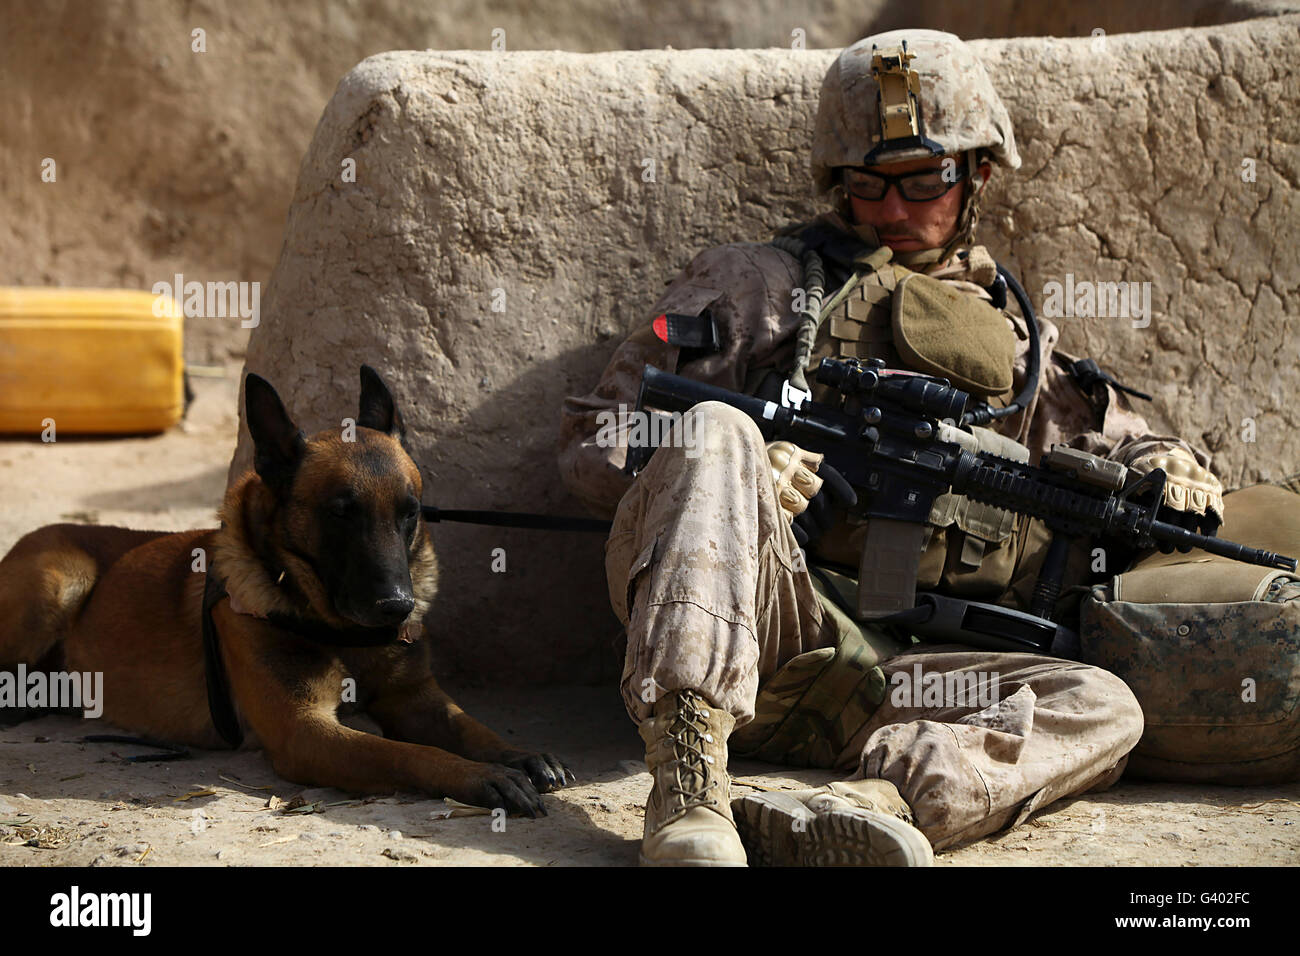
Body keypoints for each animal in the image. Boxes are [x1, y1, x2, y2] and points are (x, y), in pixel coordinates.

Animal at [0, 366, 569, 816]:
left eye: (410, 512)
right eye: (340, 513)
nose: (397, 608)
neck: (337, 629)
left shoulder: (414, 698)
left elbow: (471, 727)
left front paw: (517, 754)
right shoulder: (306, 732)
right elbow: (409, 753)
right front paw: (481, 776)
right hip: (63, 578)